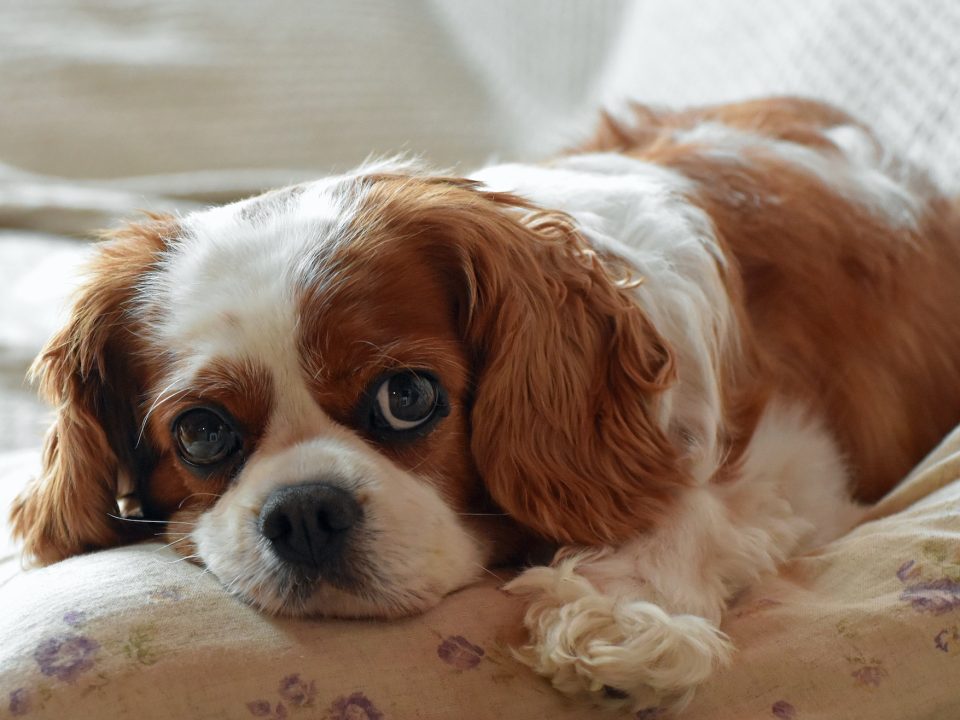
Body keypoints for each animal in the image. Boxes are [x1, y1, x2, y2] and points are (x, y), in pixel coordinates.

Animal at [7, 98, 960, 712]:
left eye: (407, 397)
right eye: (202, 434)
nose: (305, 511)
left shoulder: (802, 459)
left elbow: (697, 501)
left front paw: (625, 614)